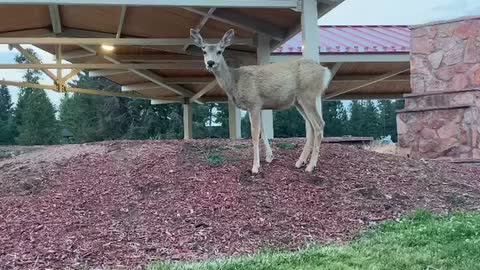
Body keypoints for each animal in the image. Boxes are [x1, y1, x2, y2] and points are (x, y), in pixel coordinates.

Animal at [189, 29, 332, 173]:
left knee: (319, 124)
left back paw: (310, 166)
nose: (210, 63)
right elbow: (263, 130)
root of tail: (325, 71)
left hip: (308, 94)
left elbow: (254, 134)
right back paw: (300, 162)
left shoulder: (253, 102)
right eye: (204, 51)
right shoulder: (258, 106)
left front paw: (255, 167)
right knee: (311, 127)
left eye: (220, 51)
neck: (235, 81)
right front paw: (269, 157)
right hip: (299, 101)